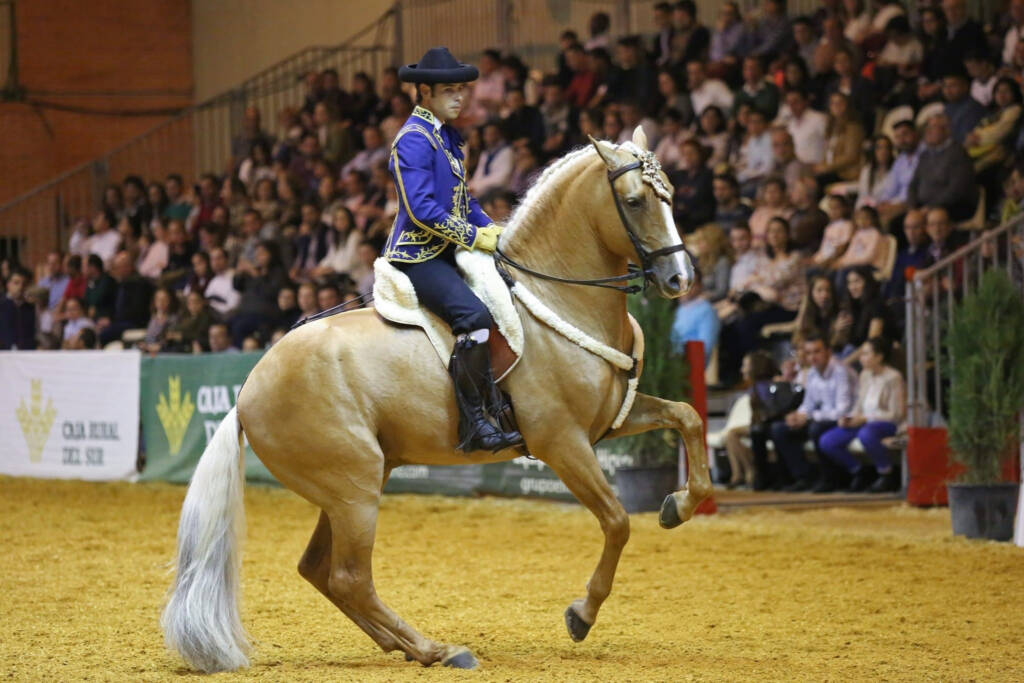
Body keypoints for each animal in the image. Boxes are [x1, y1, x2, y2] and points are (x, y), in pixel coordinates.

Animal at [162, 127, 712, 673]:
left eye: (671, 195)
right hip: (354, 489)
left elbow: (688, 418)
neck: (555, 299)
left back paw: (405, 647)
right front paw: (582, 614)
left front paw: (679, 506)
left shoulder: (610, 420)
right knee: (349, 578)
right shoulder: (561, 441)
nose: (680, 279)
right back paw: (439, 649)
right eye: (635, 201)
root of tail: (248, 389)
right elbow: (617, 521)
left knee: (319, 570)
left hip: (349, 486)